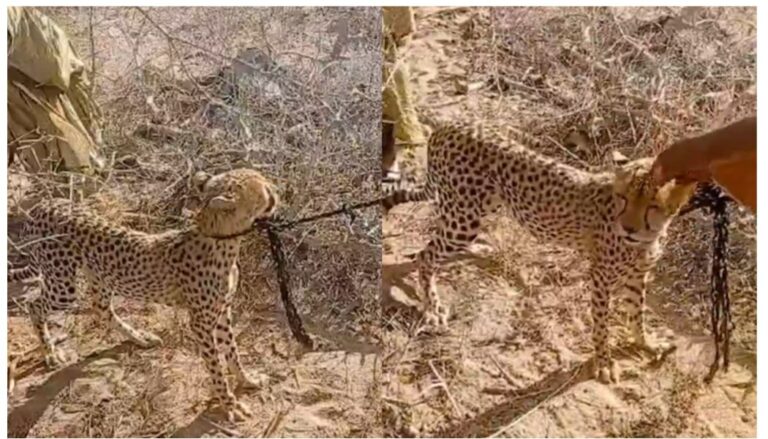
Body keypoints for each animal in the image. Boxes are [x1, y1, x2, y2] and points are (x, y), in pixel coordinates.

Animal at [7, 168, 278, 421]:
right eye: (263, 187)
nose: (276, 189)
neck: (222, 239)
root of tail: (43, 205)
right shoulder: (201, 322)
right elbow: (216, 366)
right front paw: (229, 404)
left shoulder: (222, 311)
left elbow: (232, 351)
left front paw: (247, 379)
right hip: (64, 286)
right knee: (34, 304)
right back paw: (50, 351)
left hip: (98, 276)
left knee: (101, 309)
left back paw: (140, 337)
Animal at [382, 118, 696, 383]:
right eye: (622, 198)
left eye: (652, 205)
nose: (628, 228)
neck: (646, 237)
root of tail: (447, 125)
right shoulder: (600, 277)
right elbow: (602, 323)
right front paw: (604, 361)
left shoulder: (636, 276)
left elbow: (636, 313)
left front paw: (646, 343)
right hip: (465, 217)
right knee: (426, 255)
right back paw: (433, 306)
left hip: (479, 206)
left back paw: (479, 250)